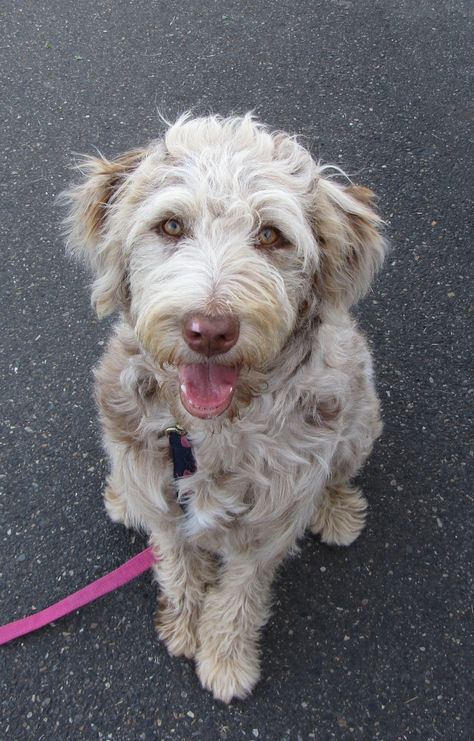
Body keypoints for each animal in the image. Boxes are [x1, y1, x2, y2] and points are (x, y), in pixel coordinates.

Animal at [63, 114, 386, 700]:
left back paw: (335, 510)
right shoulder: (162, 495)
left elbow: (242, 593)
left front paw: (226, 659)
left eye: (271, 235)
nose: (210, 330)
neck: (207, 432)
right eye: (171, 226)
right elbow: (175, 561)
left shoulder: (269, 524)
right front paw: (186, 624)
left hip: (360, 417)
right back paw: (121, 499)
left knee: (339, 470)